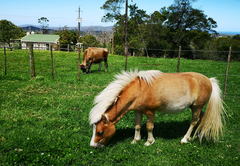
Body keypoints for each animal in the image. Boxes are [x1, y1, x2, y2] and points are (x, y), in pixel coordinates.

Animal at [89, 69, 226, 147]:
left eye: (100, 132)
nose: (93, 146)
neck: (139, 89)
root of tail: (209, 80)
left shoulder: (150, 112)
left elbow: (149, 127)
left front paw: (149, 142)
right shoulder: (137, 111)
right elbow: (137, 126)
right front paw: (135, 140)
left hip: (196, 107)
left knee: (194, 122)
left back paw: (185, 139)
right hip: (197, 108)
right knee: (202, 118)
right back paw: (199, 135)